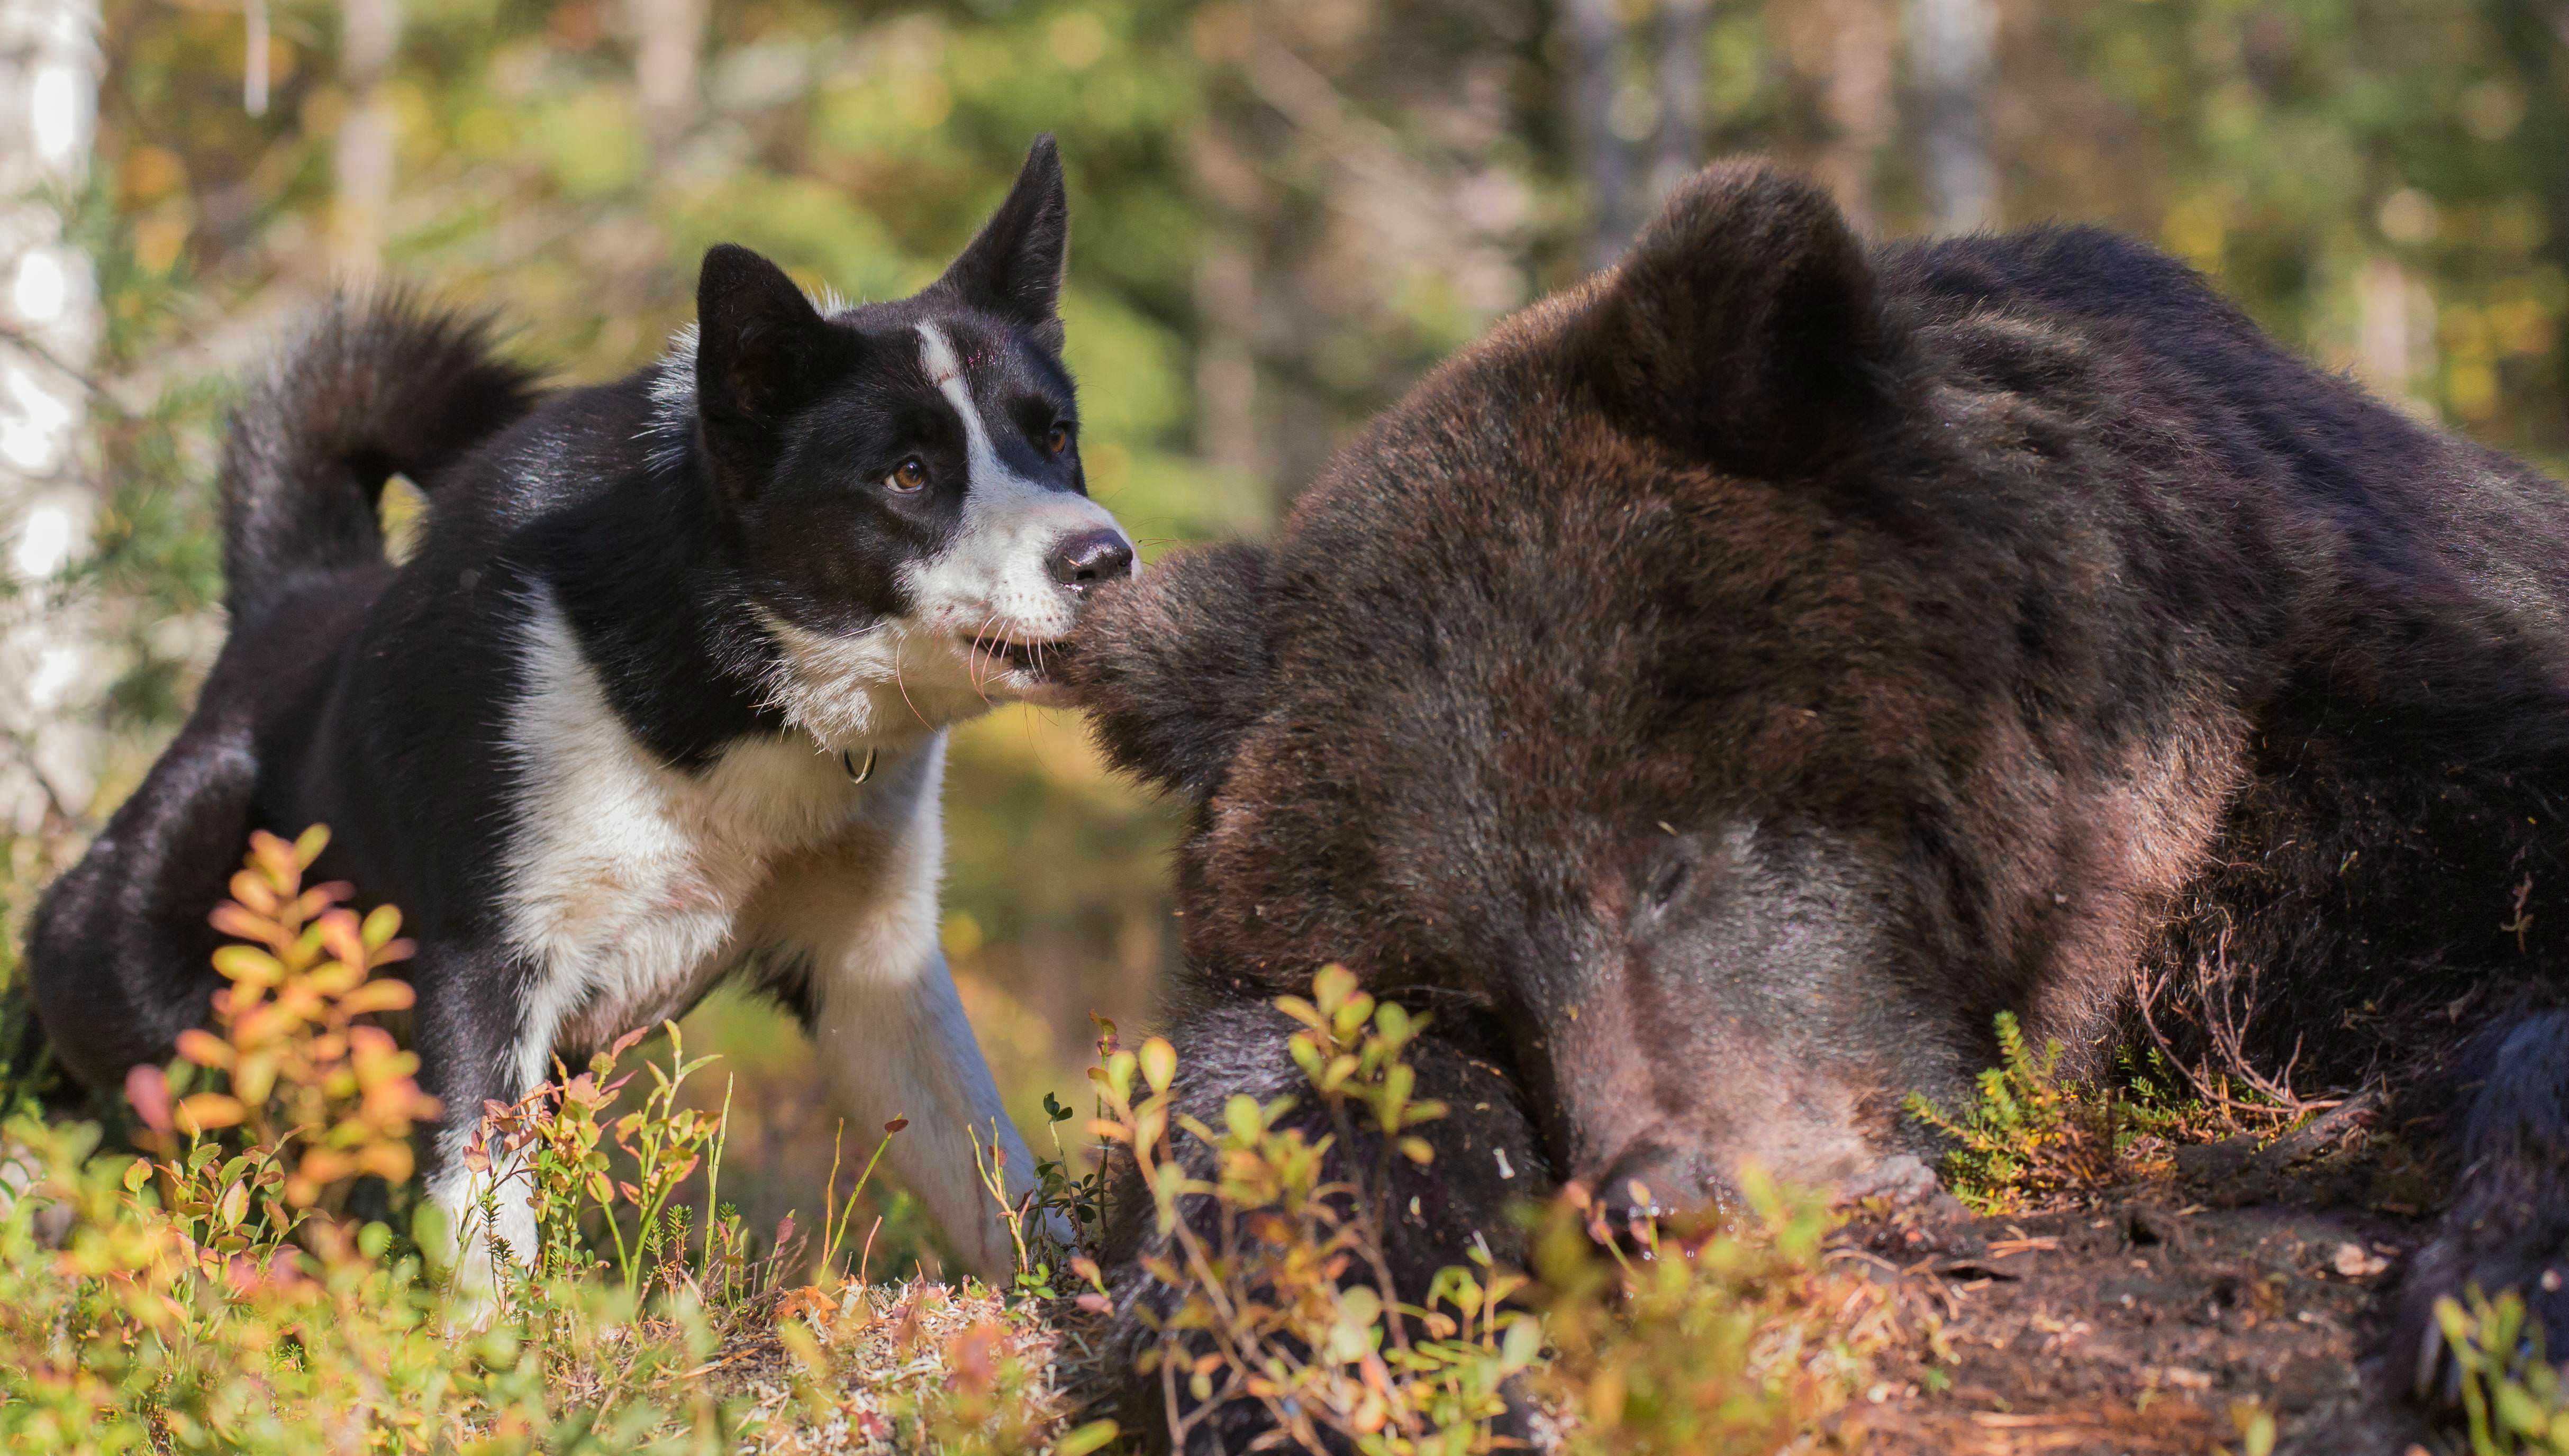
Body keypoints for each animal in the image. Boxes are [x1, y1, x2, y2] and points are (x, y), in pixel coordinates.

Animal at [22, 136, 1125, 1294]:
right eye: (908, 474)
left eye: (1055, 438)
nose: (1106, 558)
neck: (733, 674)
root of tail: (295, 596)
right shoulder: (485, 957)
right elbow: (484, 1214)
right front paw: (496, 1349)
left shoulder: (875, 970)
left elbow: (997, 1178)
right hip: (146, 976)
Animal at [1074, 159, 2569, 1448]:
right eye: (1465, 987)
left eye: (1661, 859)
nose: (1662, 1199)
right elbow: (1281, 1100)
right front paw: (1296, 1369)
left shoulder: (2384, 737)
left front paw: (2497, 1297)